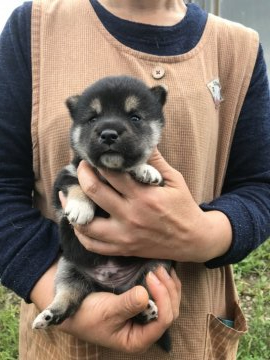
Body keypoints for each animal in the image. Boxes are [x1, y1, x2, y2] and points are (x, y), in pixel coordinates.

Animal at [32, 75, 172, 352]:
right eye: (92, 118)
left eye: (135, 117)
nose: (108, 134)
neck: (110, 173)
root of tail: (111, 286)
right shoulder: (64, 178)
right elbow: (77, 184)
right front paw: (79, 208)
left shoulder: (162, 190)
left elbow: (140, 166)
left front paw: (145, 169)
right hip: (69, 269)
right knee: (68, 297)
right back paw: (49, 315)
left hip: (153, 269)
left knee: (144, 295)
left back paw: (145, 311)